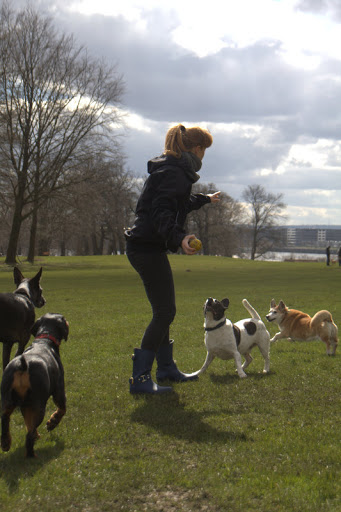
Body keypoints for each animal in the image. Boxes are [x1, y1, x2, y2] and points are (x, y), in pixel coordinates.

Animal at [0, 314, 69, 458]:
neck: (44, 339)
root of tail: (22, 366)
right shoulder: (59, 390)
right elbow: (62, 409)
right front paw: (52, 422)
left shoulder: (25, 406)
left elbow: (27, 421)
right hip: (38, 404)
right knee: (29, 435)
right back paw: (32, 455)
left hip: (7, 399)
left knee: (5, 419)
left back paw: (5, 443)